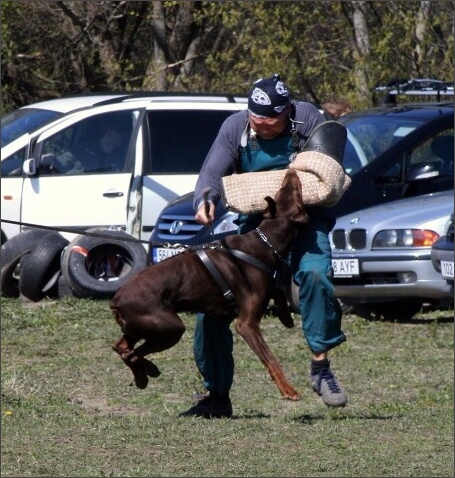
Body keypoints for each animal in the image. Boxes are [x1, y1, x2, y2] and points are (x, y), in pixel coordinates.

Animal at [110, 168, 310, 400]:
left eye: (283, 190)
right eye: (294, 191)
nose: (291, 171)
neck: (265, 241)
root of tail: (116, 299)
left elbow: (277, 289)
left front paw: (286, 317)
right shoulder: (247, 324)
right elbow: (270, 358)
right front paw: (288, 389)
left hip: (139, 328)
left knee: (120, 346)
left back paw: (145, 372)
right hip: (169, 327)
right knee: (130, 353)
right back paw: (146, 373)